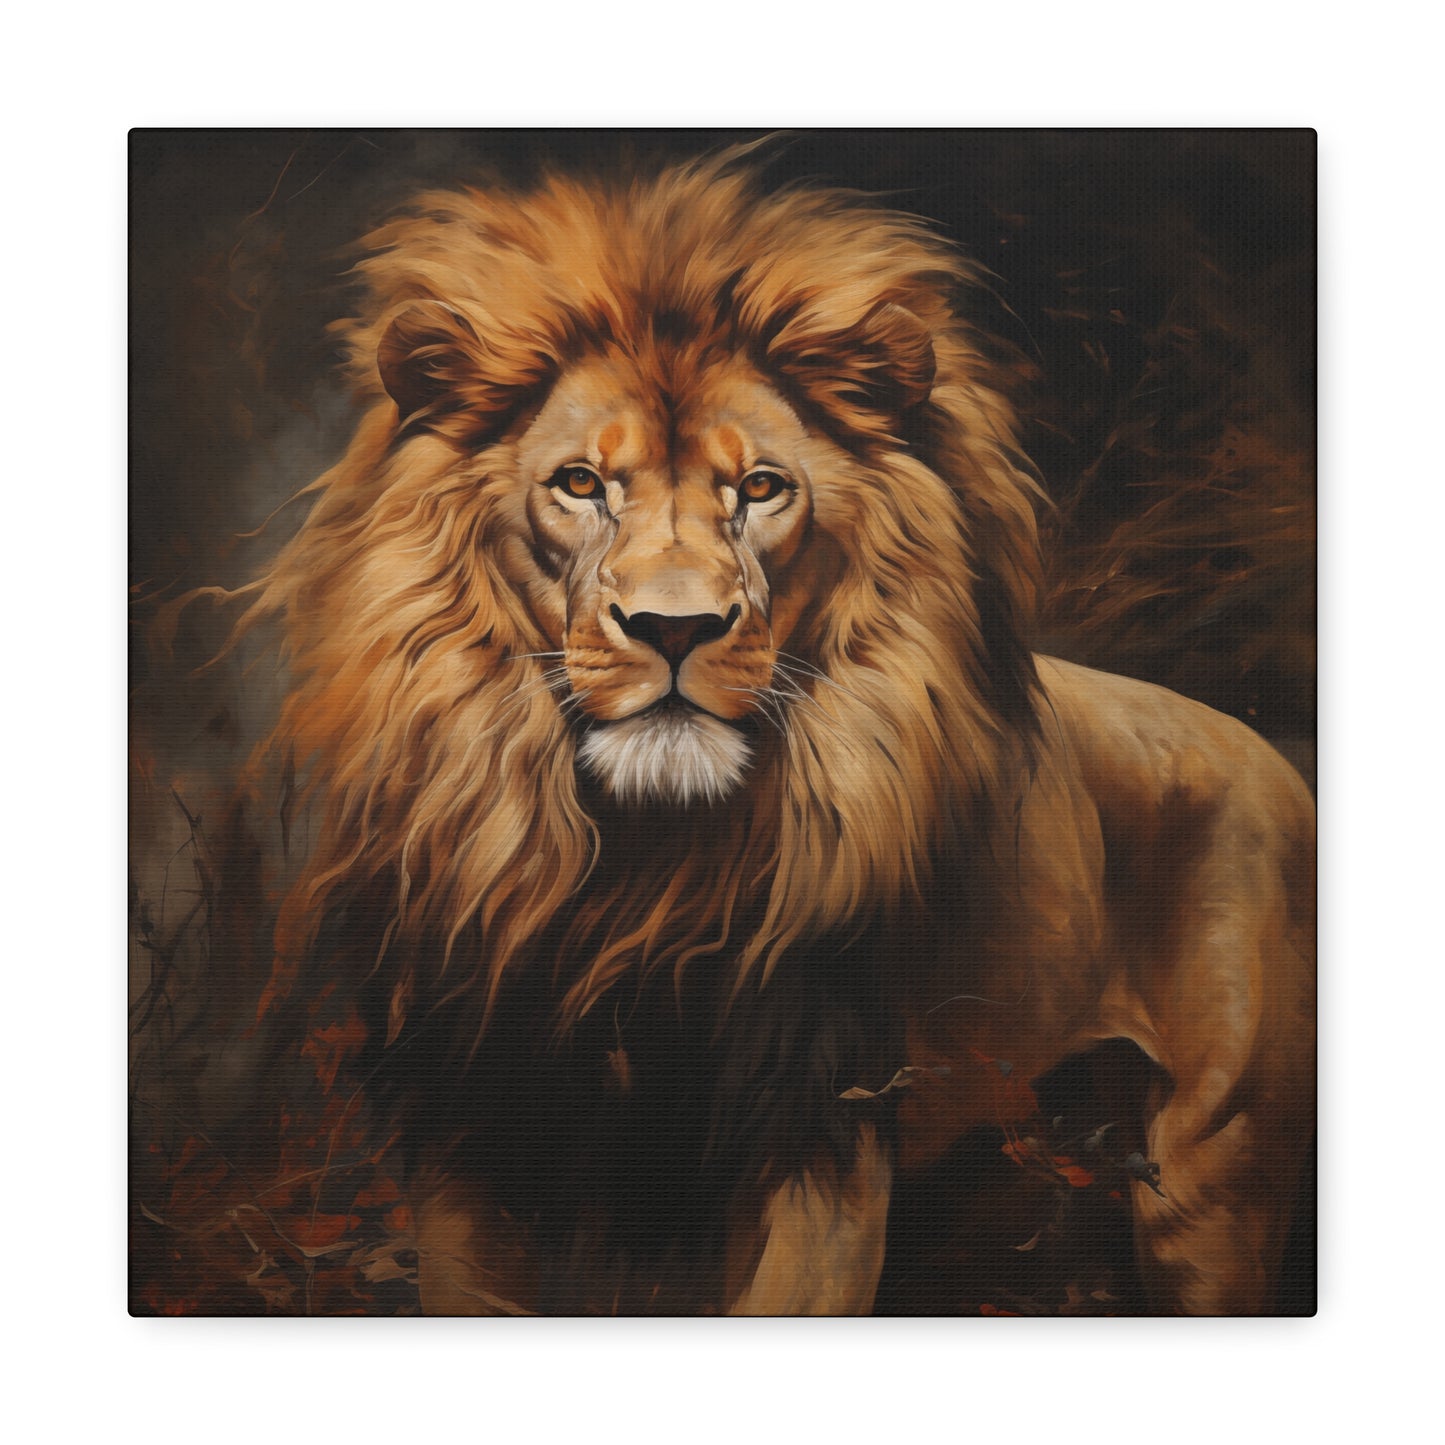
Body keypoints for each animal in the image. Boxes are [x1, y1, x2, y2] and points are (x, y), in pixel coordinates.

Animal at [240, 151, 1315, 1315]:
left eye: (759, 487)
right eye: (579, 483)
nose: (673, 627)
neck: (639, 869)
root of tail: (1270, 755)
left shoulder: (820, 1134)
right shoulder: (474, 1129)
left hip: (1210, 1184)